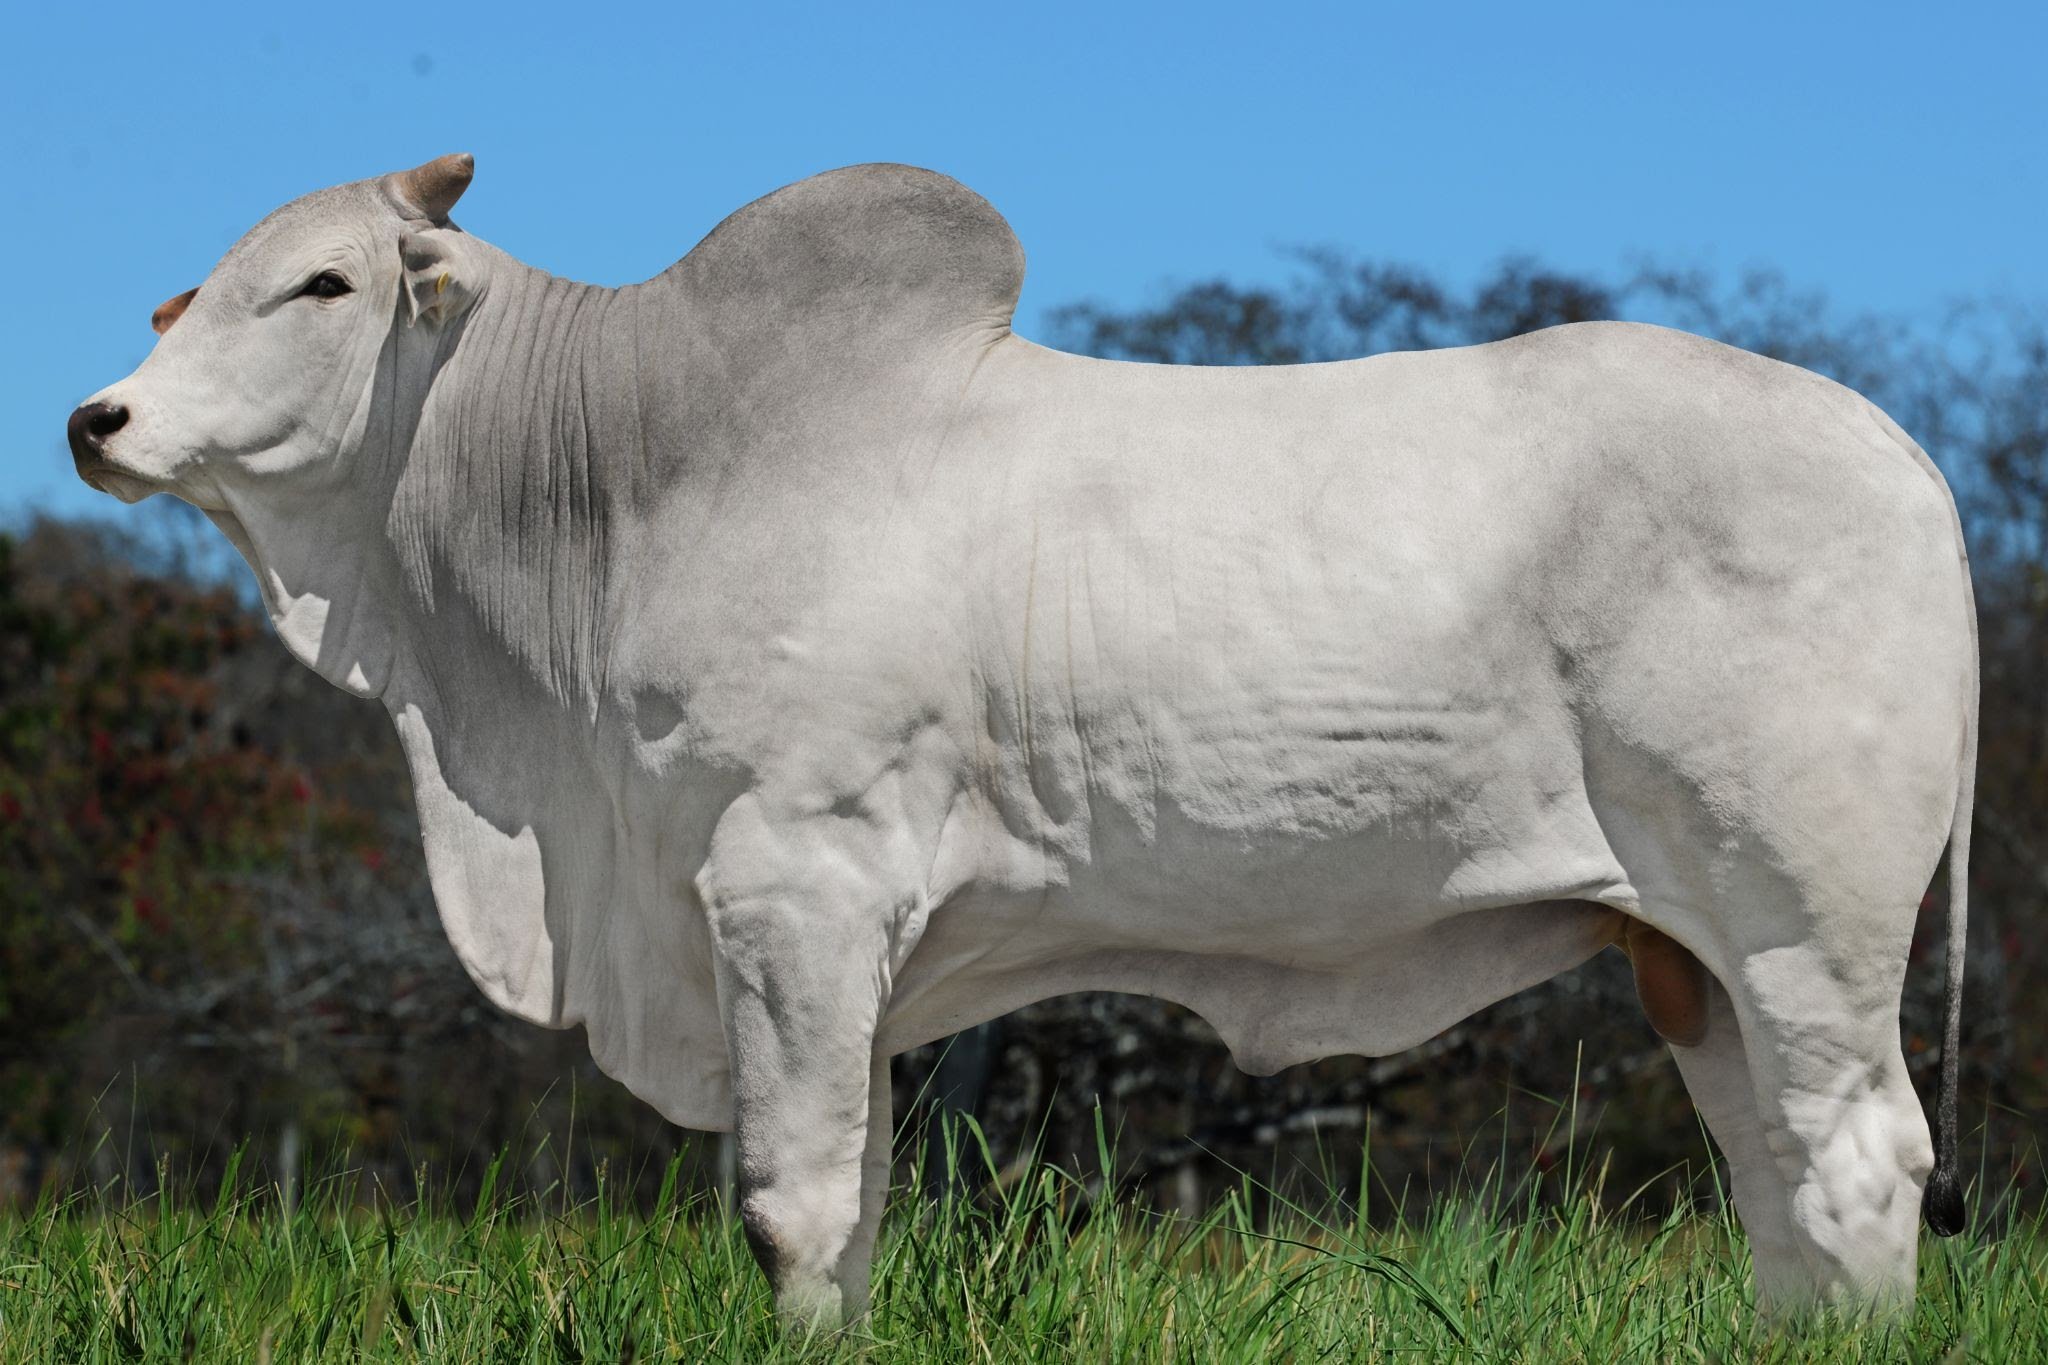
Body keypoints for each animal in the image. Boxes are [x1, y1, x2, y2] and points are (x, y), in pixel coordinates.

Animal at [72, 157, 1974, 1326]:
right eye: (181, 298)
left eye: (322, 283)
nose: (101, 418)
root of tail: (1900, 451)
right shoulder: (829, 952)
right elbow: (847, 1202)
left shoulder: (793, 888)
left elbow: (790, 1204)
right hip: (1689, 957)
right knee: (1777, 1190)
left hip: (1803, 927)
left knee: (1860, 1169)